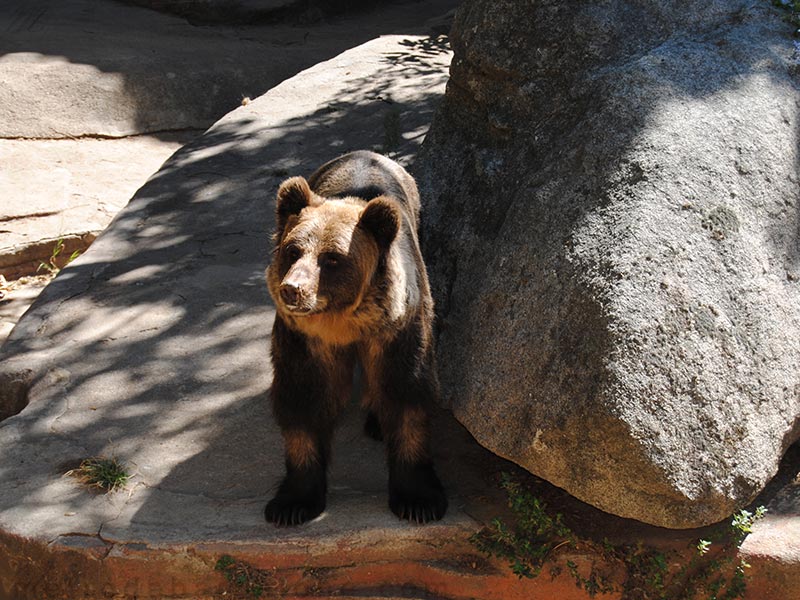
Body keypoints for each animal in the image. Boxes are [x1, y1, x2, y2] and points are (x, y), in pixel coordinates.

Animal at [266, 150, 446, 524]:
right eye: (293, 250)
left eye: (332, 258)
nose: (292, 289)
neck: (342, 322)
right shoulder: (303, 338)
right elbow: (304, 397)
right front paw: (293, 504)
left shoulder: (398, 329)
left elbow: (406, 392)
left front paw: (418, 500)